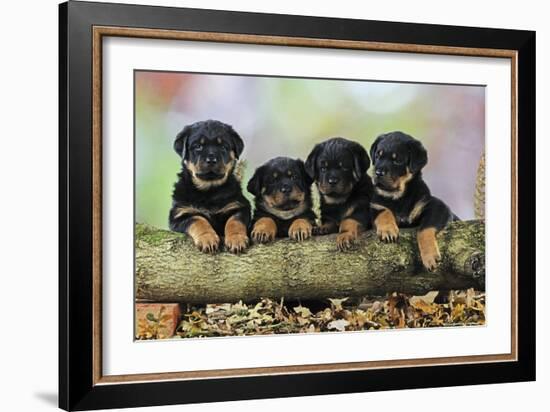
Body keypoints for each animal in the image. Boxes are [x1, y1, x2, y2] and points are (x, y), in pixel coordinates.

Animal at [168, 120, 252, 254]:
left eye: (223, 147)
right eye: (198, 146)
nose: (211, 160)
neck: (209, 191)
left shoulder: (239, 206)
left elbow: (234, 221)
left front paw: (236, 239)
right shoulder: (180, 214)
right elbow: (198, 219)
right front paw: (208, 239)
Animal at [374, 131, 460, 270]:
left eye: (397, 160)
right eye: (377, 156)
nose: (378, 173)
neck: (398, 197)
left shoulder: (438, 207)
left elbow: (424, 229)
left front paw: (430, 257)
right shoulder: (375, 205)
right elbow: (384, 211)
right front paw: (387, 230)